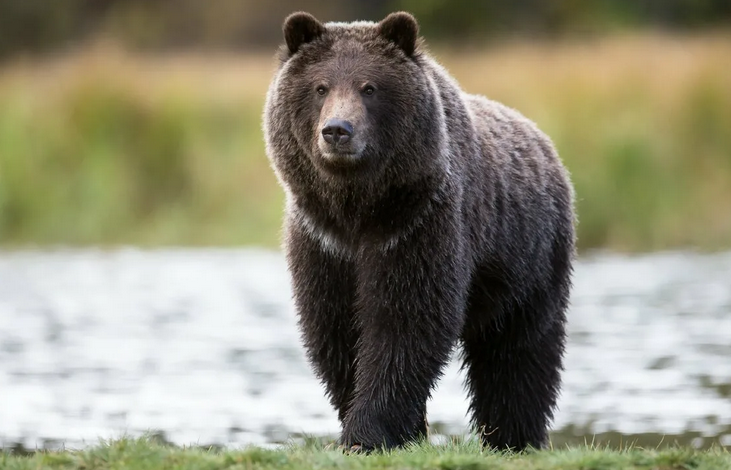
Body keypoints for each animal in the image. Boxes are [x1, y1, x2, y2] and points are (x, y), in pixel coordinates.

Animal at [263, 11, 575, 452]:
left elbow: (406, 324)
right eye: (320, 87)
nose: (337, 130)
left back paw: (514, 436)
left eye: (369, 87)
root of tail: (544, 142)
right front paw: (394, 430)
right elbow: (335, 328)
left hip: (530, 260)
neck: (358, 208)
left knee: (519, 351)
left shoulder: (418, 224)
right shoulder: (322, 240)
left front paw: (368, 433)